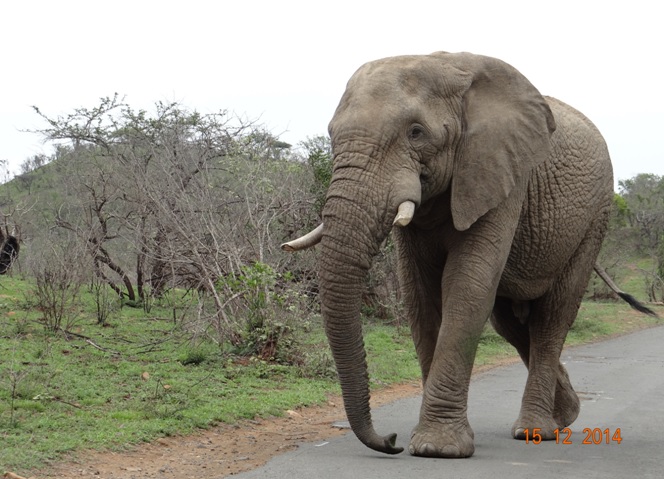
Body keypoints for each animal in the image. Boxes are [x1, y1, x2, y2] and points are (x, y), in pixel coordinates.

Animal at [280, 50, 652, 460]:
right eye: (331, 134)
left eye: (416, 132)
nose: (389, 441)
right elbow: (420, 296)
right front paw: (427, 440)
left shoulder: (501, 174)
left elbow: (467, 286)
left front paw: (437, 447)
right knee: (510, 324)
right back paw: (565, 415)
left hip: (594, 220)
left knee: (553, 316)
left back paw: (537, 430)